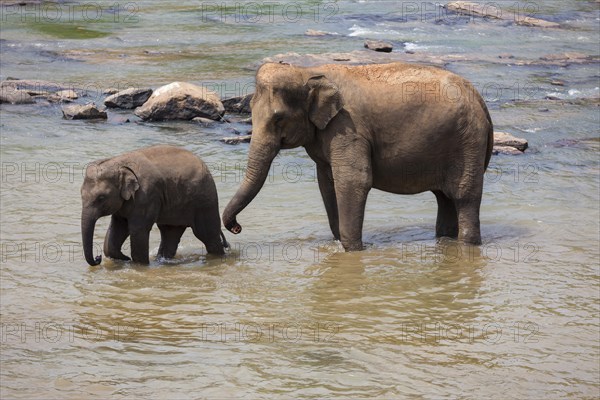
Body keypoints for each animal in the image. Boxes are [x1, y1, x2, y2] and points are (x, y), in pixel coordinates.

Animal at [81, 145, 226, 266]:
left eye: (101, 198)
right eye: (81, 195)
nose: (98, 258)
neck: (120, 162)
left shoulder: (146, 195)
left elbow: (138, 229)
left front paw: (138, 265)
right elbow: (118, 227)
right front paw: (124, 258)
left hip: (205, 200)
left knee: (207, 235)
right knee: (170, 233)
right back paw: (163, 260)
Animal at [221, 62, 492, 250]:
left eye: (278, 118)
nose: (236, 227)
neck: (307, 71)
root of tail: (480, 100)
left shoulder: (348, 127)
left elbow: (353, 181)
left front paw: (352, 250)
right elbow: (327, 184)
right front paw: (339, 242)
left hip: (467, 143)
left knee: (464, 197)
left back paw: (467, 244)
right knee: (444, 199)